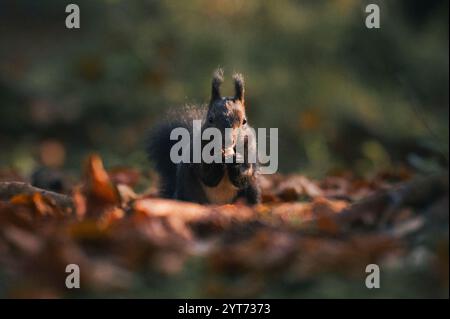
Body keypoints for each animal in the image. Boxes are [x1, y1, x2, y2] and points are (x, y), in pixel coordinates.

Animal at [146, 69, 262, 206]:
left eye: (244, 121)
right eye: (210, 119)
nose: (228, 140)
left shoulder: (249, 147)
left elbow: (244, 175)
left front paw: (236, 161)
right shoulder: (197, 151)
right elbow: (207, 175)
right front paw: (217, 159)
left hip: (252, 190)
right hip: (188, 193)